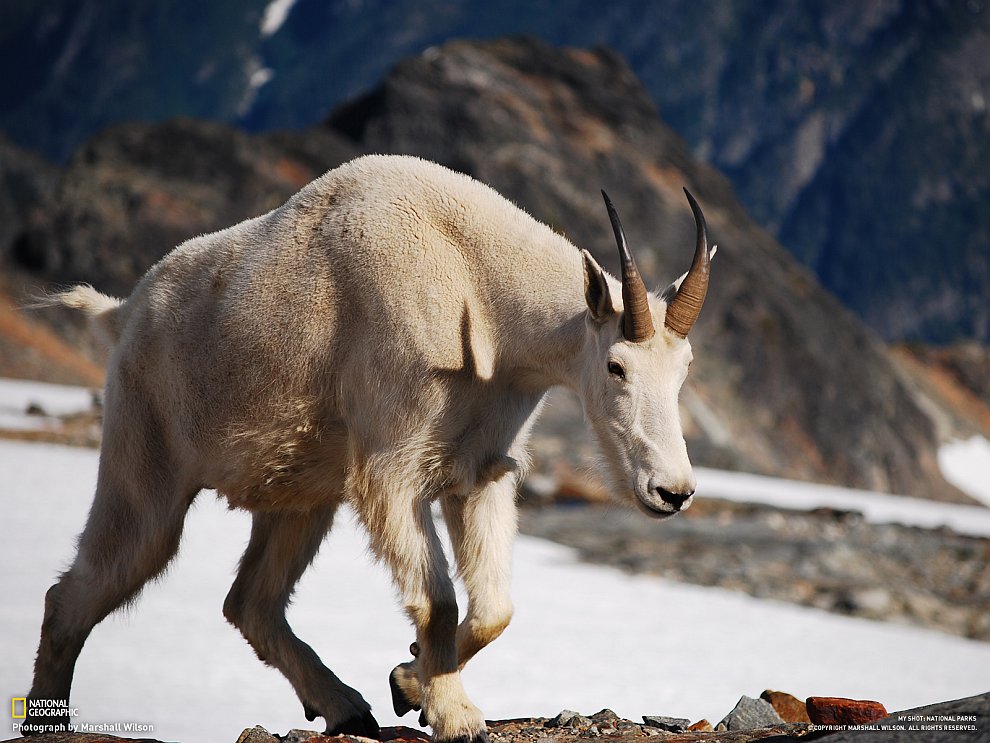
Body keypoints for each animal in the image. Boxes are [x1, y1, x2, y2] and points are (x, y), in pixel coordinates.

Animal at [27, 154, 716, 740]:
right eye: (616, 366)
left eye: (685, 368)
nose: (672, 491)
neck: (476, 285)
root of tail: (123, 313)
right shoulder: (391, 468)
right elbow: (437, 599)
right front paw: (455, 714)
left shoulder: (482, 470)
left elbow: (495, 608)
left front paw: (408, 682)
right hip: (144, 457)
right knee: (85, 586)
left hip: (299, 494)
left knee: (250, 602)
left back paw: (344, 705)